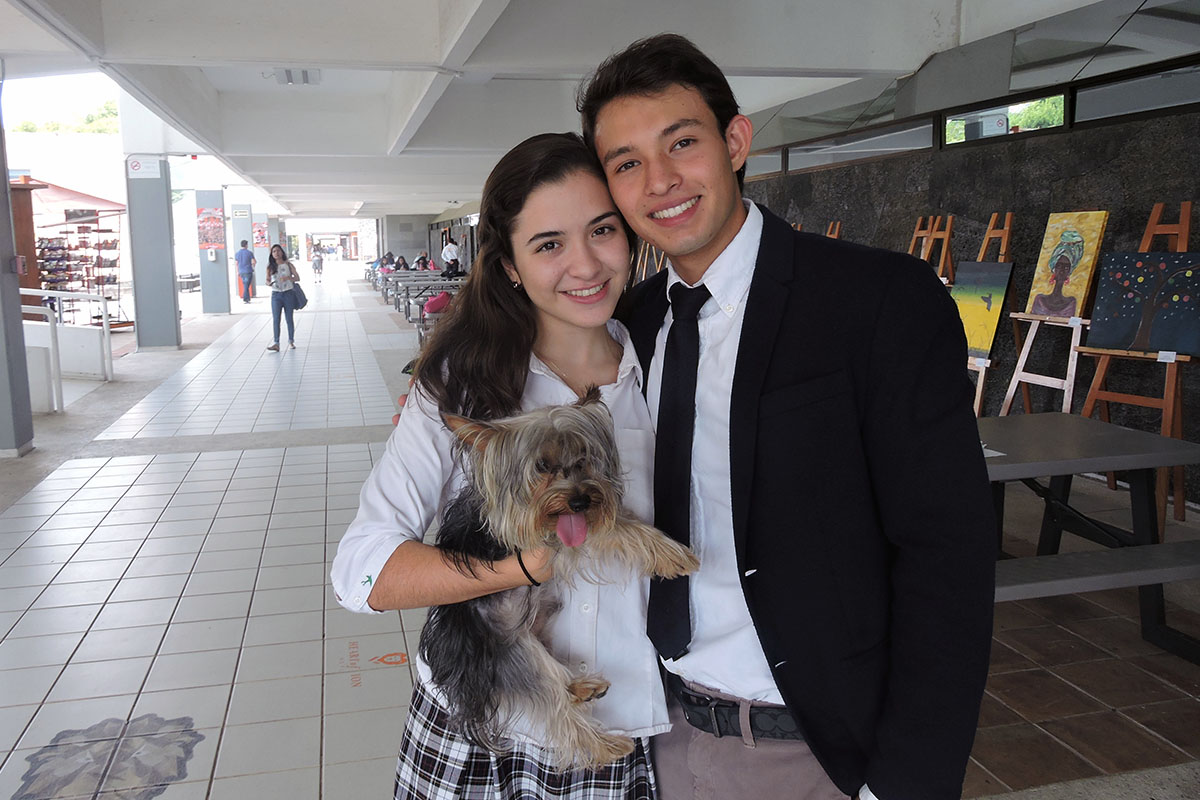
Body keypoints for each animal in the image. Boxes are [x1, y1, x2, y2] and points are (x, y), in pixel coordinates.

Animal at [418, 387, 699, 770]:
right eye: (542, 466)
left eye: (583, 459)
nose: (580, 501)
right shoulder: (546, 541)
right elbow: (616, 529)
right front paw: (675, 555)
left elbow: (619, 520)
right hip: (511, 652)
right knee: (554, 706)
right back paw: (605, 746)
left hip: (530, 633)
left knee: (556, 679)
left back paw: (581, 687)